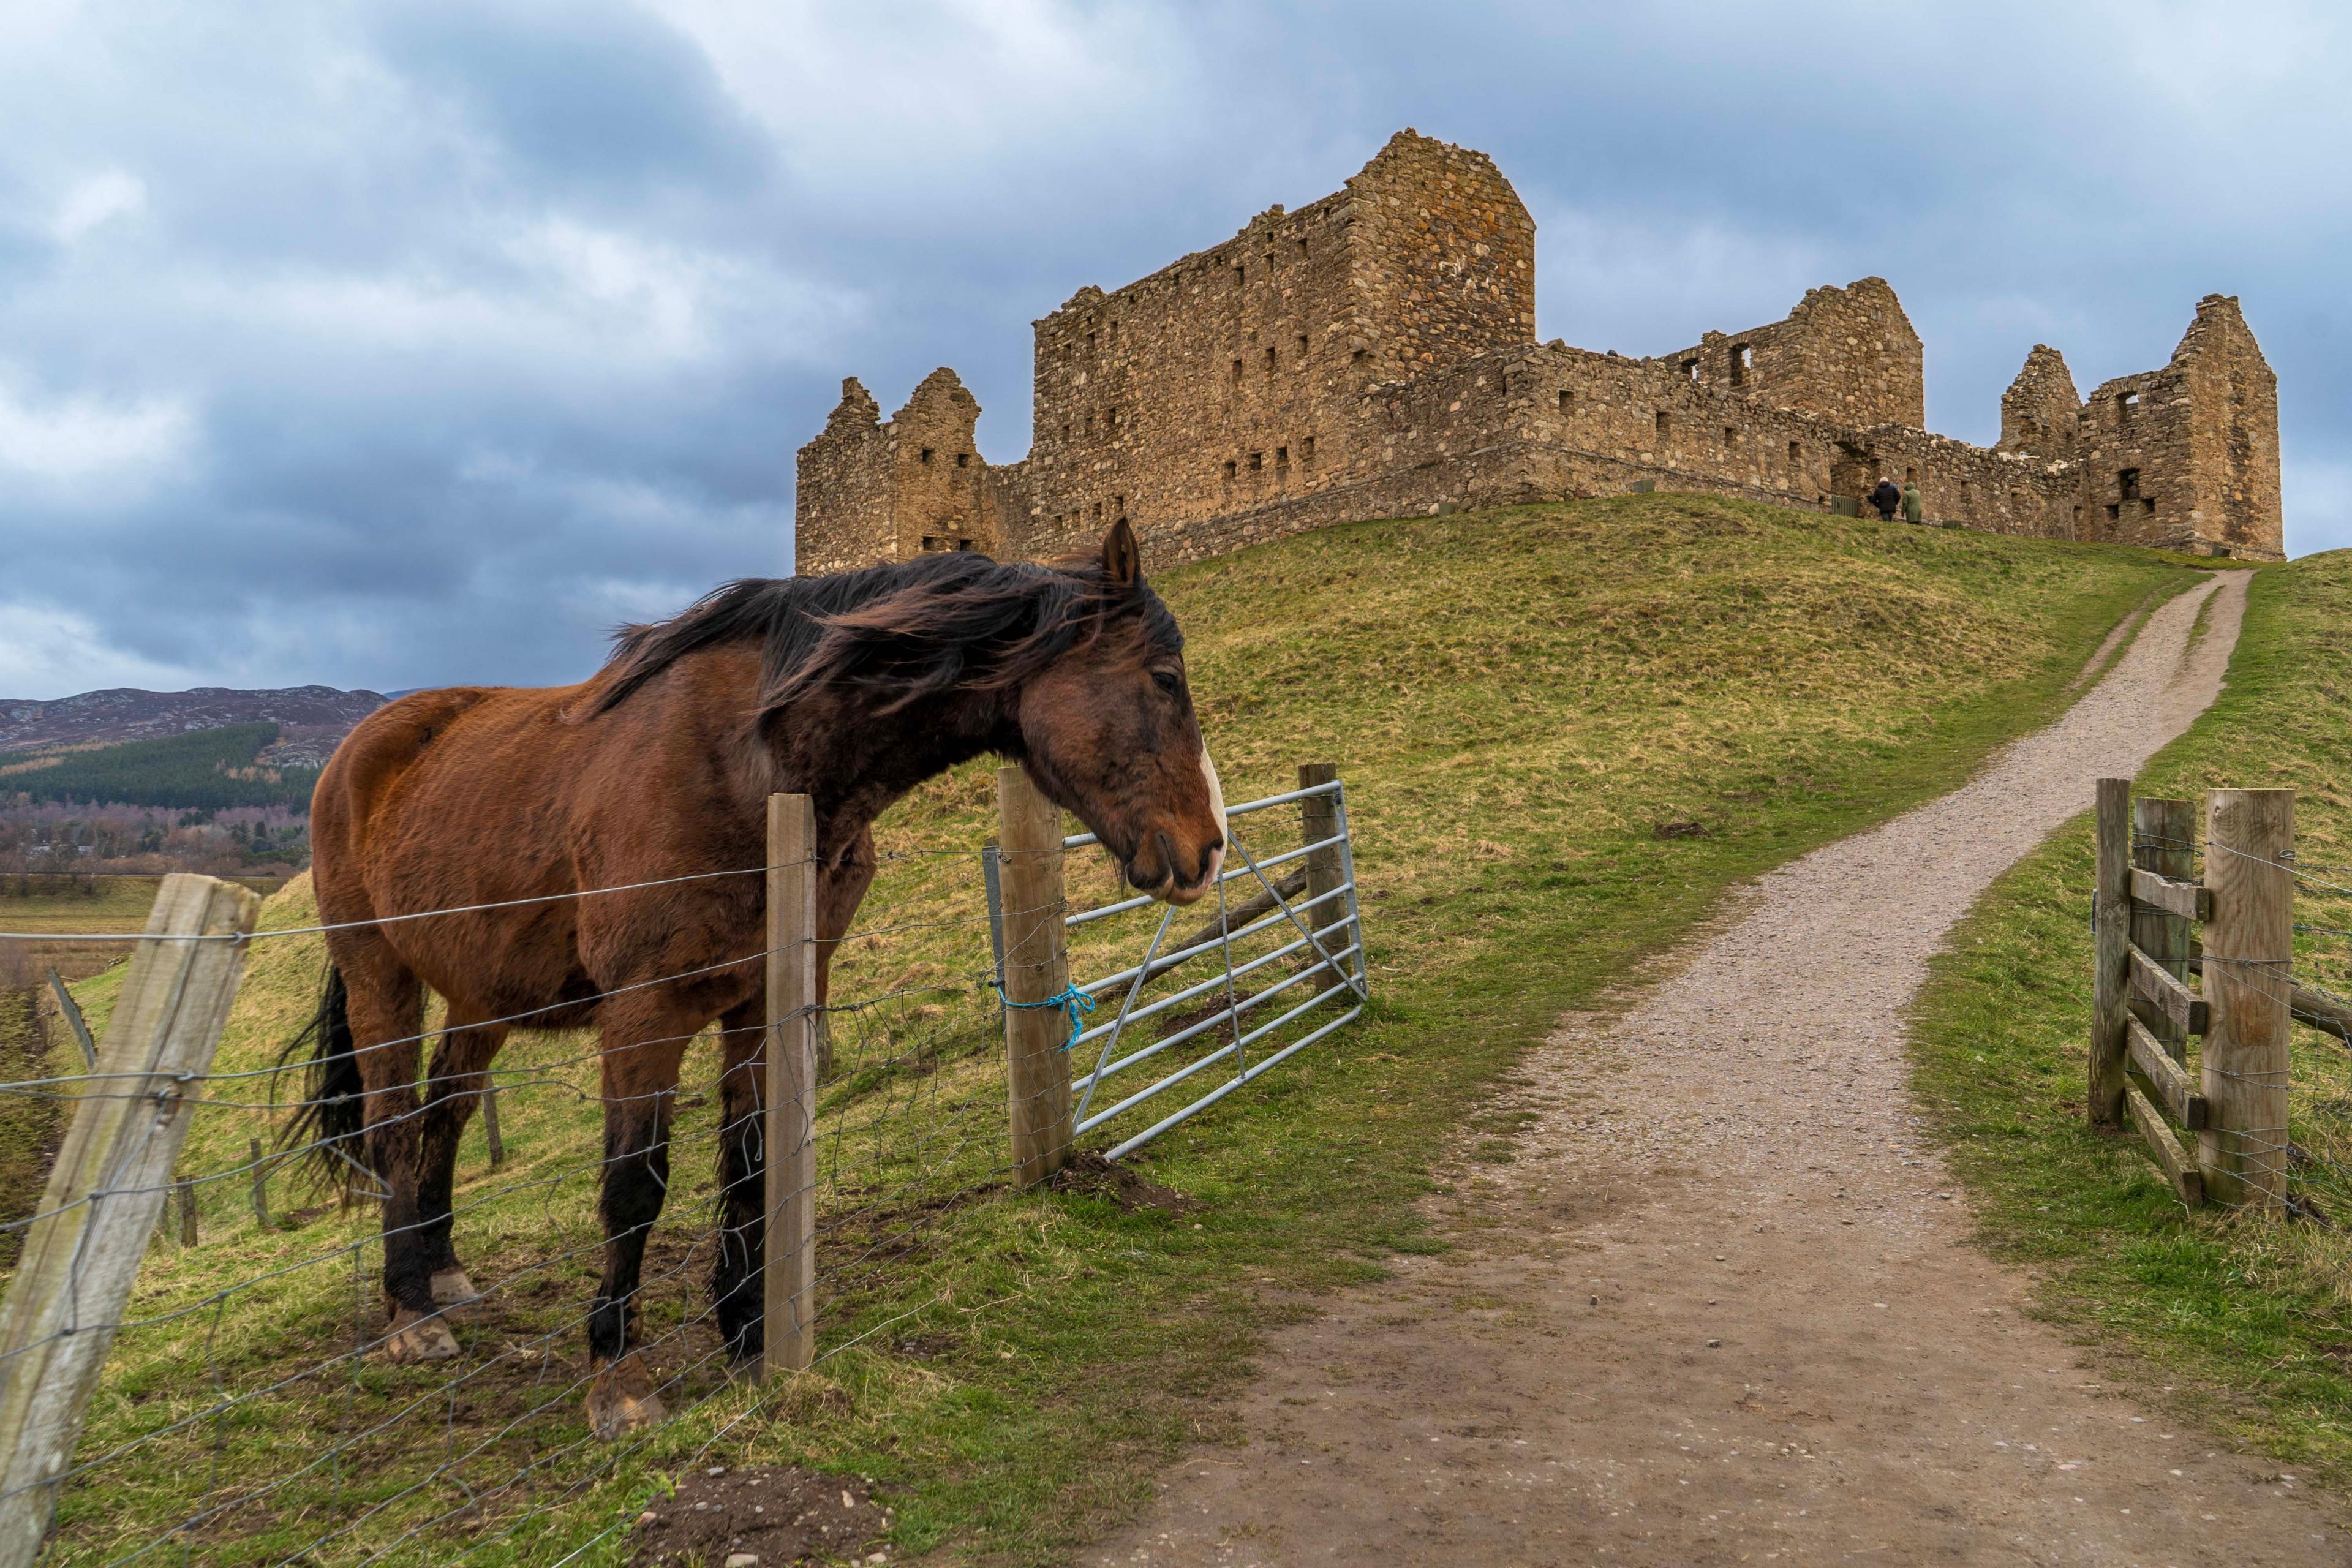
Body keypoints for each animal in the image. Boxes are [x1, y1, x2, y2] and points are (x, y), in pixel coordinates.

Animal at [289, 522, 1232, 1438]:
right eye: (1165, 679)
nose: (1208, 849)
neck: (754, 765)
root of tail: (361, 751)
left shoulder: (763, 996)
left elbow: (751, 1161)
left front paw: (748, 1342)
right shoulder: (646, 1012)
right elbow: (635, 1185)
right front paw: (617, 1379)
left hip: (482, 997)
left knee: (444, 1113)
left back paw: (444, 1272)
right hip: (380, 976)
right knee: (392, 1124)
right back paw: (411, 1313)